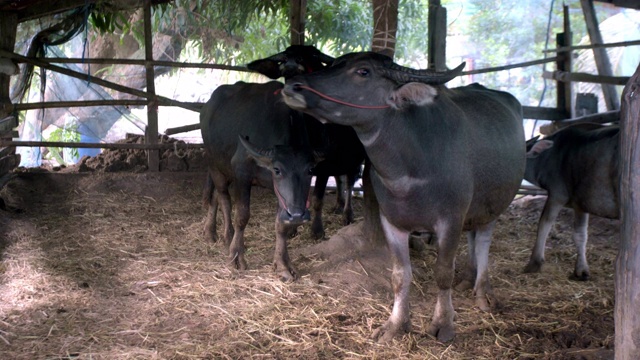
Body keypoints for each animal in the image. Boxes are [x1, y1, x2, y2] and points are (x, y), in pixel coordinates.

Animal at [282, 52, 524, 344]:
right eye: (334, 64)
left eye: (363, 71)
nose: (293, 86)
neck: (410, 167)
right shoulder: (392, 221)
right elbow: (399, 276)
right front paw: (396, 324)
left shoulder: (451, 220)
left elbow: (443, 273)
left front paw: (443, 323)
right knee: (472, 235)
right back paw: (467, 278)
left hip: (495, 203)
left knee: (484, 241)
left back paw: (483, 291)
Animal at [520, 124, 620, 282]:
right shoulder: (581, 203)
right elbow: (580, 234)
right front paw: (581, 271)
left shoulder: (557, 194)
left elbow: (544, 224)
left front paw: (534, 263)